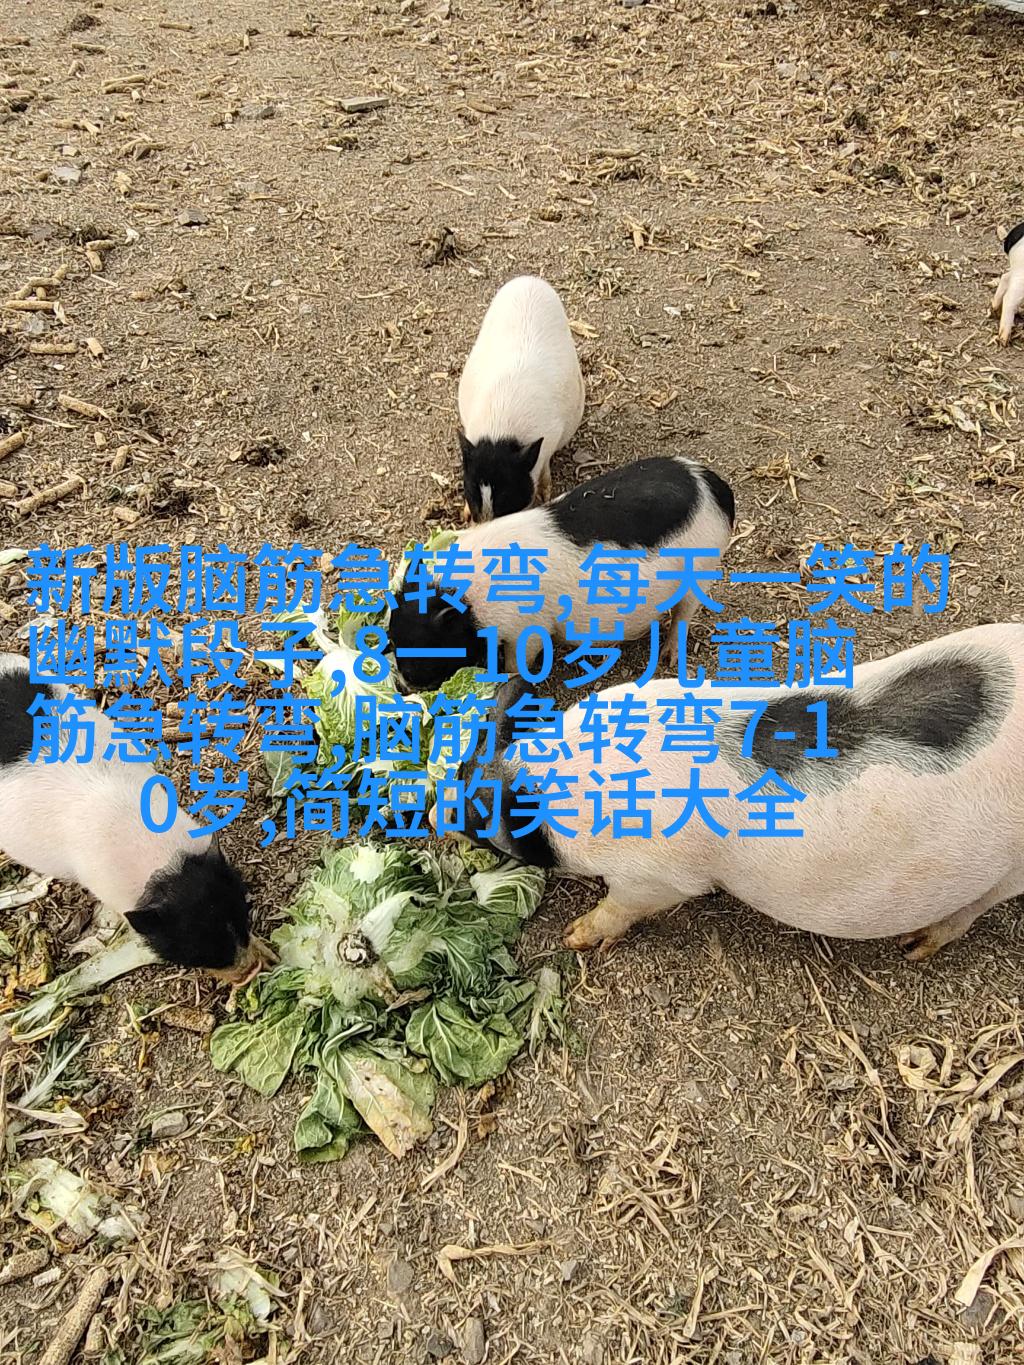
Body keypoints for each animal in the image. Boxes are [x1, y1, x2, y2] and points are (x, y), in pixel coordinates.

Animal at [387, 455, 736, 693]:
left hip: (703, 568)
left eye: (425, 649)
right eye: (392, 638)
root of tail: (717, 487)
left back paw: (668, 659)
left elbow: (518, 662)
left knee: (683, 616)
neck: (467, 600)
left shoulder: (528, 627)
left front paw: (503, 680)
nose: (402, 685)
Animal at [443, 623, 1024, 963]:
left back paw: (914, 948)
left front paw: (575, 936)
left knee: (975, 907)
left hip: (1008, 870)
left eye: (481, 824)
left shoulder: (657, 877)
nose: (434, 817)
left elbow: (622, 905)